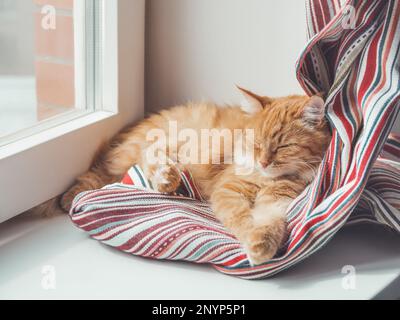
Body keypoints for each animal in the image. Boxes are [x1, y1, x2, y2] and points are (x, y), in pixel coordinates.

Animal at [60, 87, 332, 264]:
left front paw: (261, 246)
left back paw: (168, 180)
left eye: (284, 146)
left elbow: (269, 222)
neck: (267, 178)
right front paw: (252, 243)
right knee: (141, 157)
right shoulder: (229, 190)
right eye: (257, 143)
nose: (263, 161)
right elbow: (241, 218)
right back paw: (166, 179)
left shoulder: (279, 198)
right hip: (177, 142)